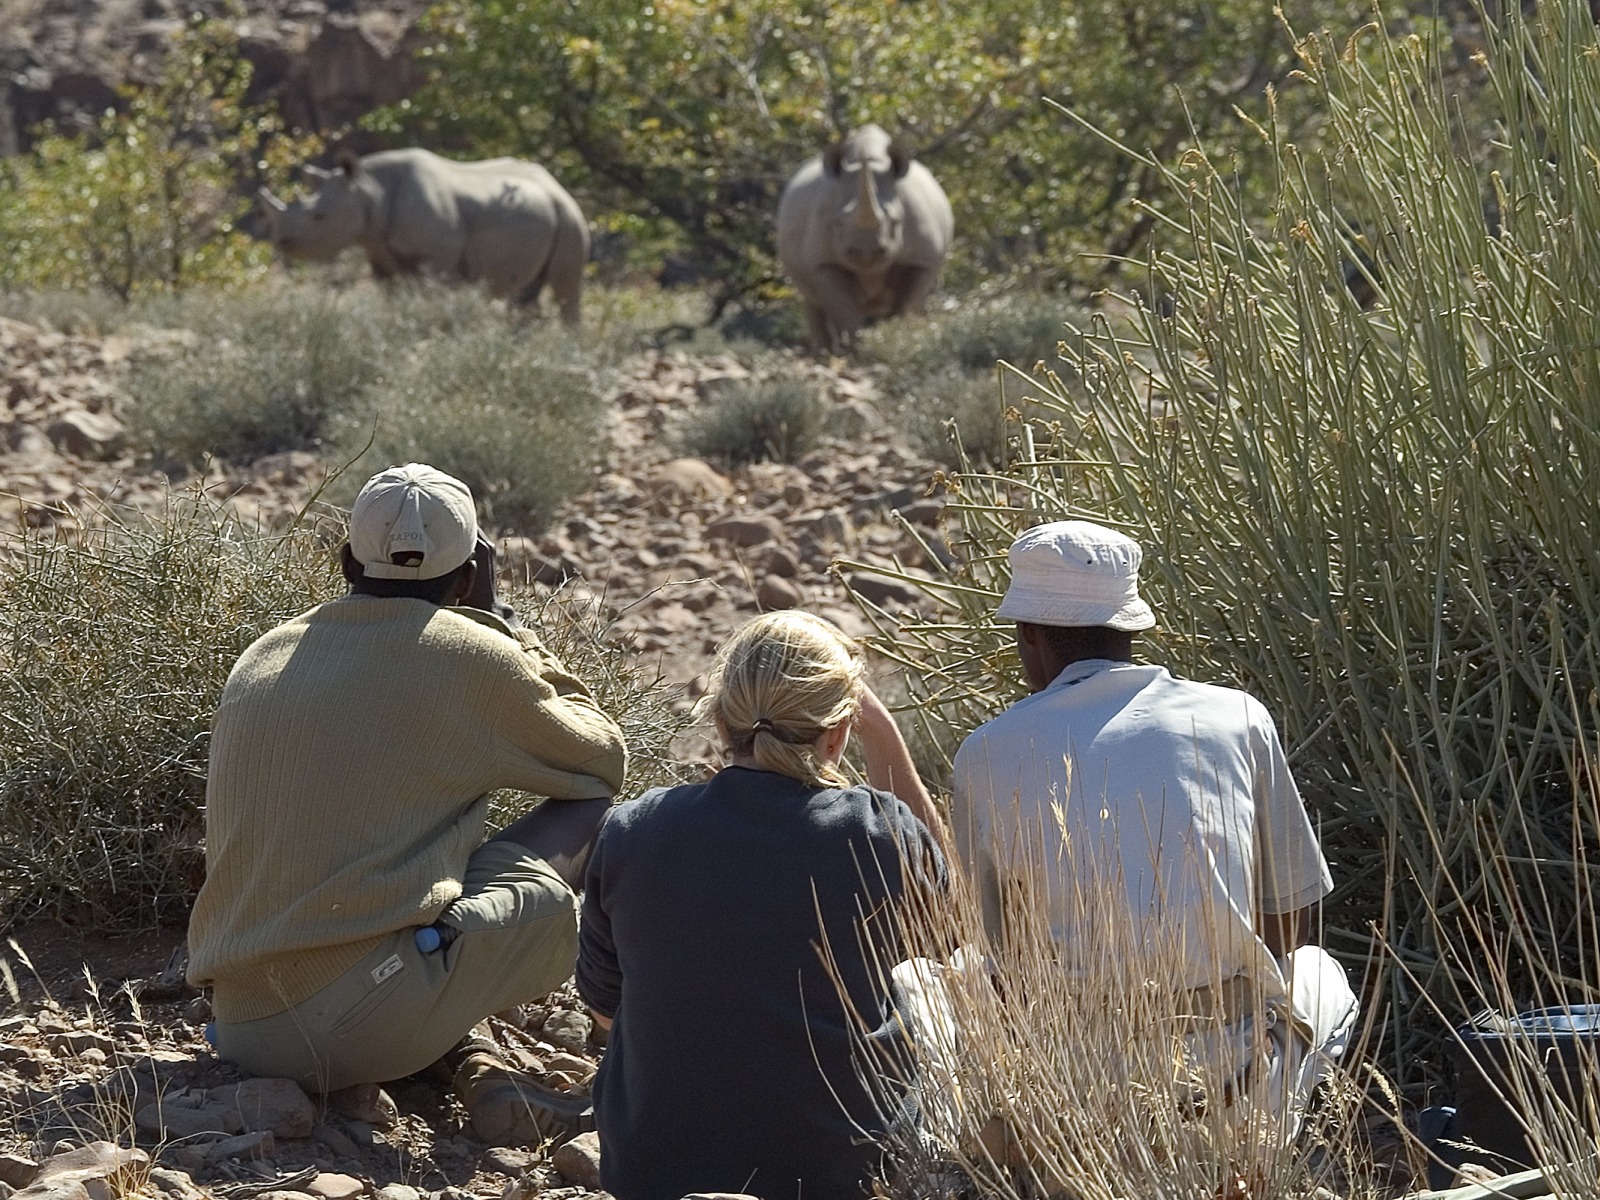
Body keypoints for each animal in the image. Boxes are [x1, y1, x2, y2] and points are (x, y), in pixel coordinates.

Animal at [257, 148, 589, 327]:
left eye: (319, 217)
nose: (281, 241)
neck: (369, 188)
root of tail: (557, 185)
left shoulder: (438, 256)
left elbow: (430, 292)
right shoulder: (379, 250)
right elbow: (392, 293)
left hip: (570, 218)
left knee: (565, 287)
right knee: (528, 293)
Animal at [776, 125, 954, 353]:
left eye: (896, 222)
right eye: (837, 224)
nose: (865, 253)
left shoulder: (922, 260)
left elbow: (907, 305)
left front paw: (899, 339)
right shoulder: (824, 262)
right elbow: (845, 312)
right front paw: (861, 350)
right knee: (812, 300)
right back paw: (823, 353)